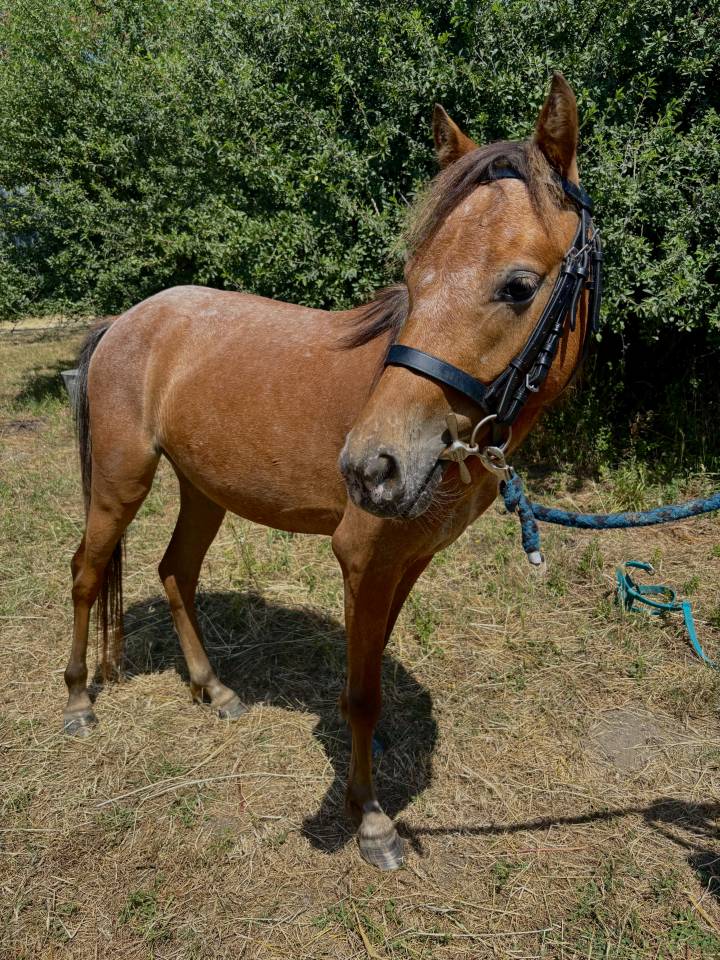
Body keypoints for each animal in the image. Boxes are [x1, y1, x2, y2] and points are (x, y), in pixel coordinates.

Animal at [65, 73, 598, 871]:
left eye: (519, 286)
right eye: (413, 276)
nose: (371, 466)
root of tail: (127, 320)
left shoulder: (404, 564)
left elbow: (368, 675)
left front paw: (363, 787)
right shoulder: (363, 561)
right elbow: (361, 695)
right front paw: (371, 820)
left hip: (203, 492)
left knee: (175, 572)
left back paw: (215, 692)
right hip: (121, 483)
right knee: (87, 572)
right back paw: (77, 702)